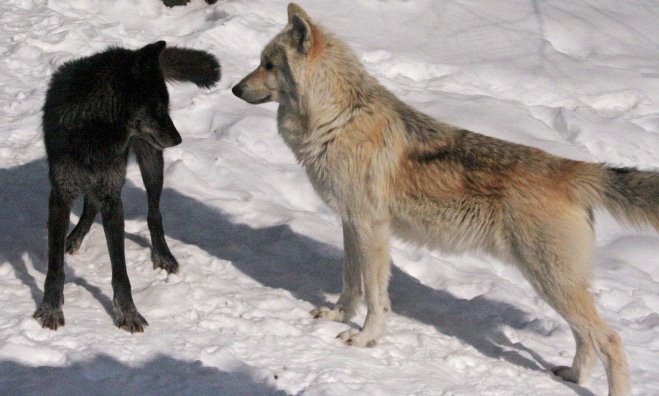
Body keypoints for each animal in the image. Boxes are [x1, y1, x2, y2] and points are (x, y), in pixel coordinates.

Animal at [34, 41, 220, 332]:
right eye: (157, 108)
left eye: (167, 106)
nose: (178, 139)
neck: (94, 130)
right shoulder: (61, 196)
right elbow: (55, 267)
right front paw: (51, 308)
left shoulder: (113, 198)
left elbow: (120, 270)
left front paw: (128, 312)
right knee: (90, 206)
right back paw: (74, 238)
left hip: (151, 165)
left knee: (154, 214)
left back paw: (163, 255)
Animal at [233, 3, 659, 396]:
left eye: (268, 64)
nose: (234, 89)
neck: (337, 119)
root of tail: (573, 167)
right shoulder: (350, 223)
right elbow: (350, 283)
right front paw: (338, 316)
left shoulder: (370, 228)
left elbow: (374, 295)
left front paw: (366, 338)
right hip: (554, 284)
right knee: (586, 339)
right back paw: (571, 376)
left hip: (551, 282)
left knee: (610, 340)